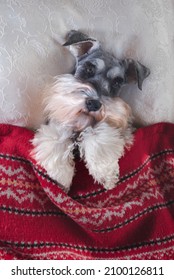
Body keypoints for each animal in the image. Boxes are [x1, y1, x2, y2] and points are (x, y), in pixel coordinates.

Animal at [30, 30, 150, 192]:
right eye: (89, 69)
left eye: (117, 82)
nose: (94, 104)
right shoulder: (57, 124)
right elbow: (56, 140)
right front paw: (61, 178)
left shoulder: (119, 129)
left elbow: (99, 138)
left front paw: (106, 176)